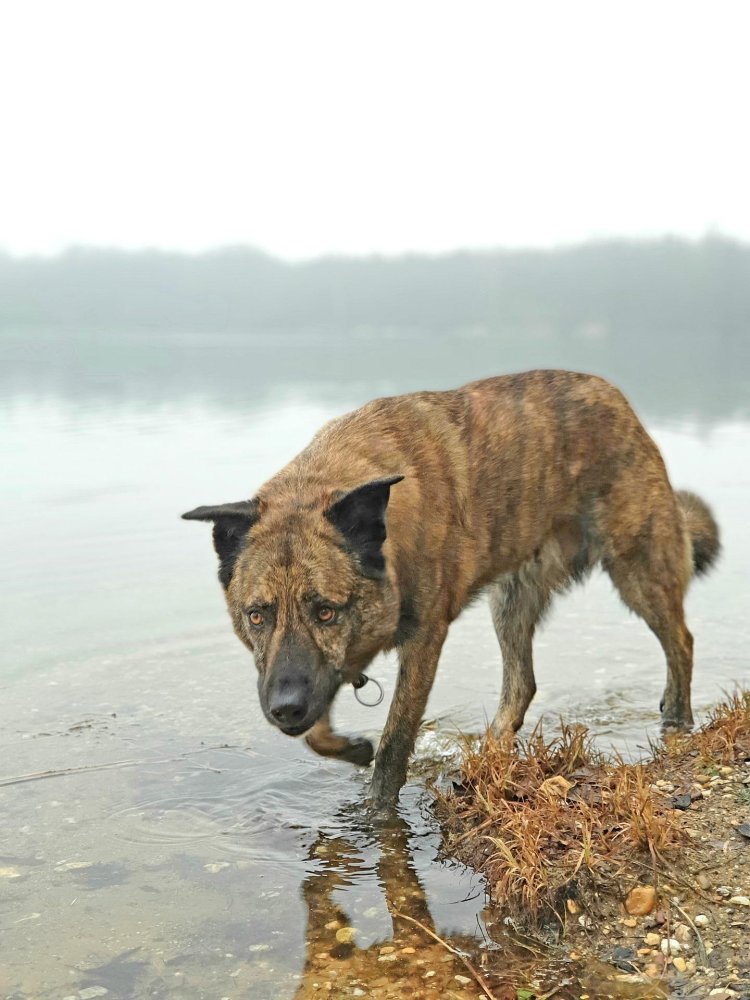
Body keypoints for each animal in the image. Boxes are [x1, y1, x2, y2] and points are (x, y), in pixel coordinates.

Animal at [182, 372, 724, 808]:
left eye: (325, 612)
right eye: (257, 615)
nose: (284, 709)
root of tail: (618, 399)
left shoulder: (424, 640)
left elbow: (395, 740)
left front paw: (376, 808)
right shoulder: (314, 671)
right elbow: (317, 727)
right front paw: (352, 749)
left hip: (637, 571)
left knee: (682, 640)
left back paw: (677, 719)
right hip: (512, 600)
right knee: (522, 684)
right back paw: (490, 753)